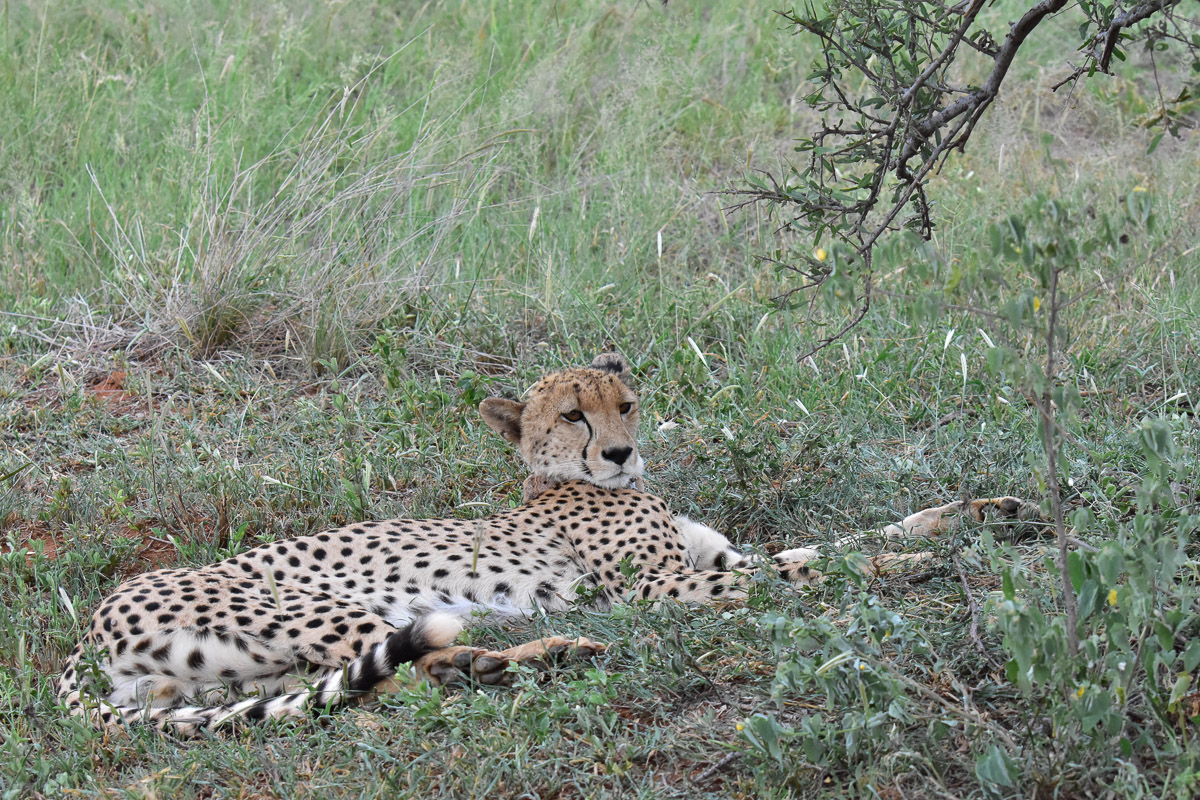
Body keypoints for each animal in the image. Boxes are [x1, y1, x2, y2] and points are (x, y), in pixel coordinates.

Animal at [56, 352, 1037, 736]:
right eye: (572, 416)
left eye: (624, 403)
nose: (620, 452)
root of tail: (86, 627)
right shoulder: (658, 590)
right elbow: (803, 575)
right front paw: (915, 569)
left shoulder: (712, 558)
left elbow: (838, 541)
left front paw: (977, 516)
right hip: (322, 607)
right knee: (403, 670)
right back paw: (538, 651)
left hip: (241, 672)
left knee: (383, 679)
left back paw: (504, 662)